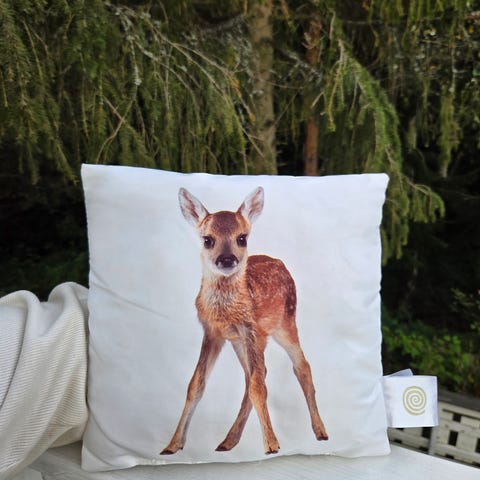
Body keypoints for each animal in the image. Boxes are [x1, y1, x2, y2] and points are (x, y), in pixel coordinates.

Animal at [160, 186, 328, 456]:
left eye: (242, 238)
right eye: (207, 240)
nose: (227, 259)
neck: (226, 312)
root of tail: (281, 262)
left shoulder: (251, 329)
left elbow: (258, 387)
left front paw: (271, 445)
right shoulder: (213, 333)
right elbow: (196, 384)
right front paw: (172, 445)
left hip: (284, 324)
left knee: (301, 366)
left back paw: (320, 431)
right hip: (244, 341)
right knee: (255, 376)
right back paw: (228, 441)